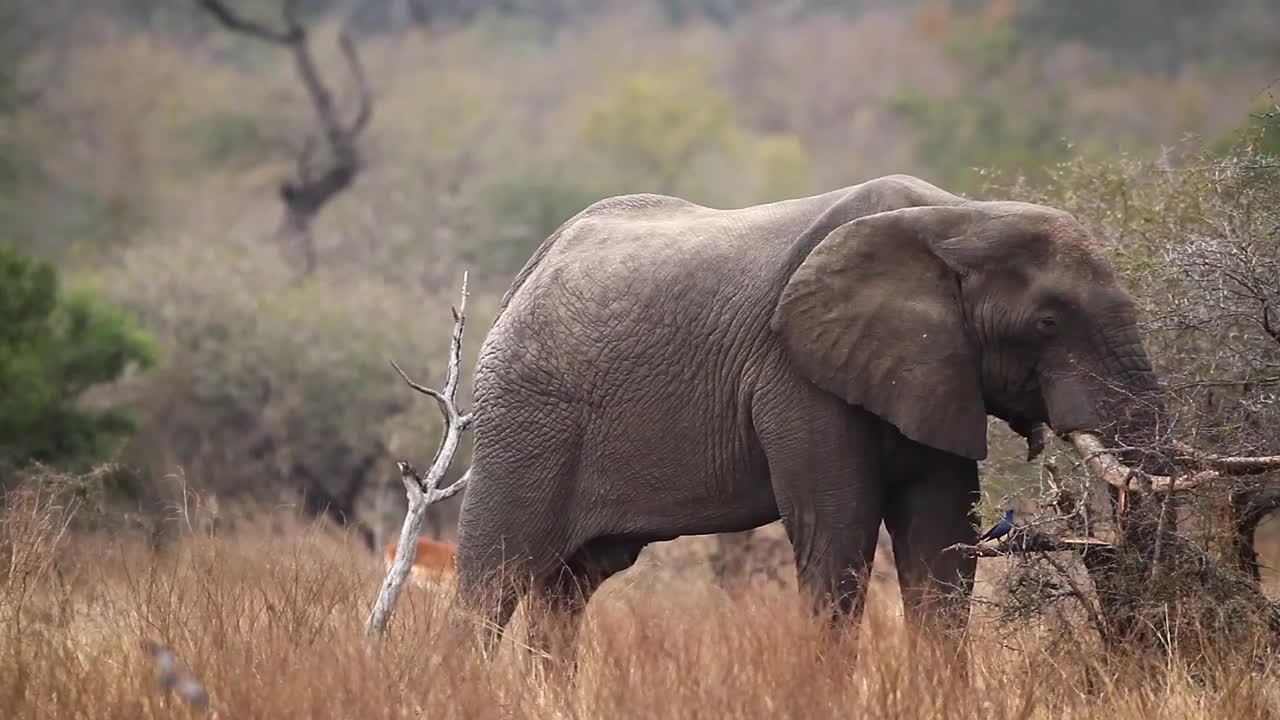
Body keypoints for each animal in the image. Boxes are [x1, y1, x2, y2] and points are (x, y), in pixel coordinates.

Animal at [455, 170, 1167, 661]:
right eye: (1047, 323)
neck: (957, 219)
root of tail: (532, 268)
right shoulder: (794, 374)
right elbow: (838, 530)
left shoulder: (936, 371)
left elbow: (941, 537)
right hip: (525, 416)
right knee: (494, 578)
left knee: (569, 588)